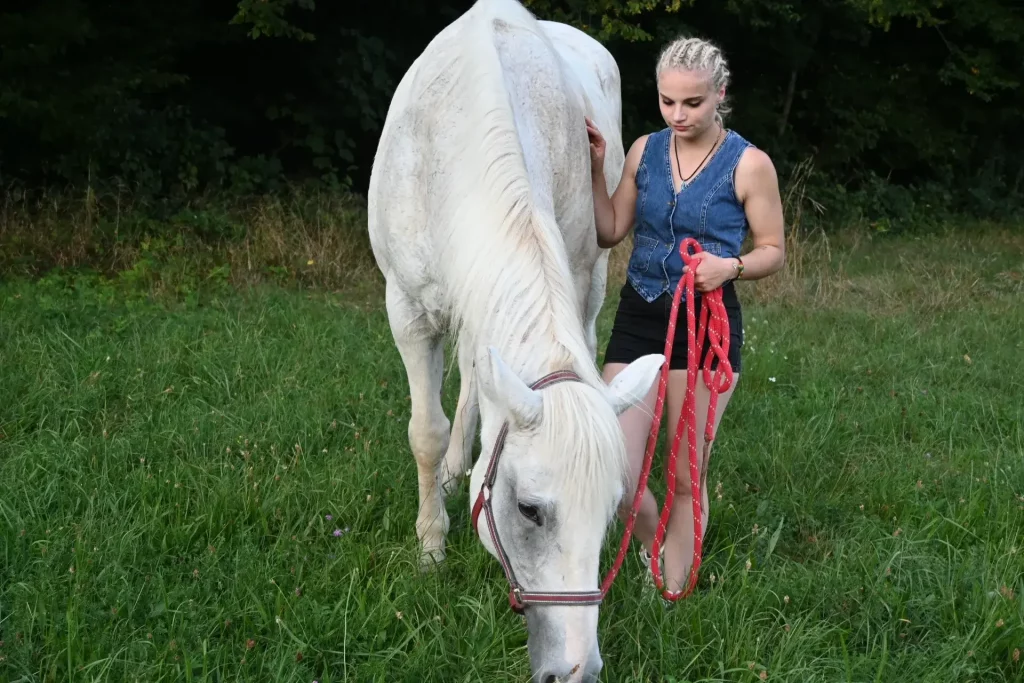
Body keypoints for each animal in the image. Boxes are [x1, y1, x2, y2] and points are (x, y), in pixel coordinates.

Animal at [366, 0, 663, 680]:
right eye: (529, 509)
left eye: (612, 511)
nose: (575, 669)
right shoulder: (408, 311)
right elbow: (426, 432)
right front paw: (431, 545)